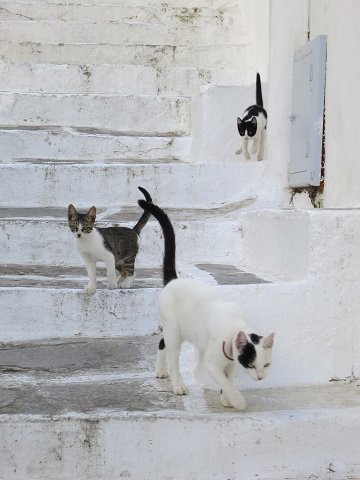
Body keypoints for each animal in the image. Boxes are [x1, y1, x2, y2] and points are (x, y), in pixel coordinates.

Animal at [139, 199, 274, 412]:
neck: (233, 328)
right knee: (173, 358)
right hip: (174, 331)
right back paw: (178, 385)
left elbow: (229, 379)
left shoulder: (232, 363)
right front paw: (237, 400)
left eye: (266, 365)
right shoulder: (212, 363)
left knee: (162, 342)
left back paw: (160, 371)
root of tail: (174, 281)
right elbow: (224, 381)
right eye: (252, 365)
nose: (260, 378)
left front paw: (226, 398)